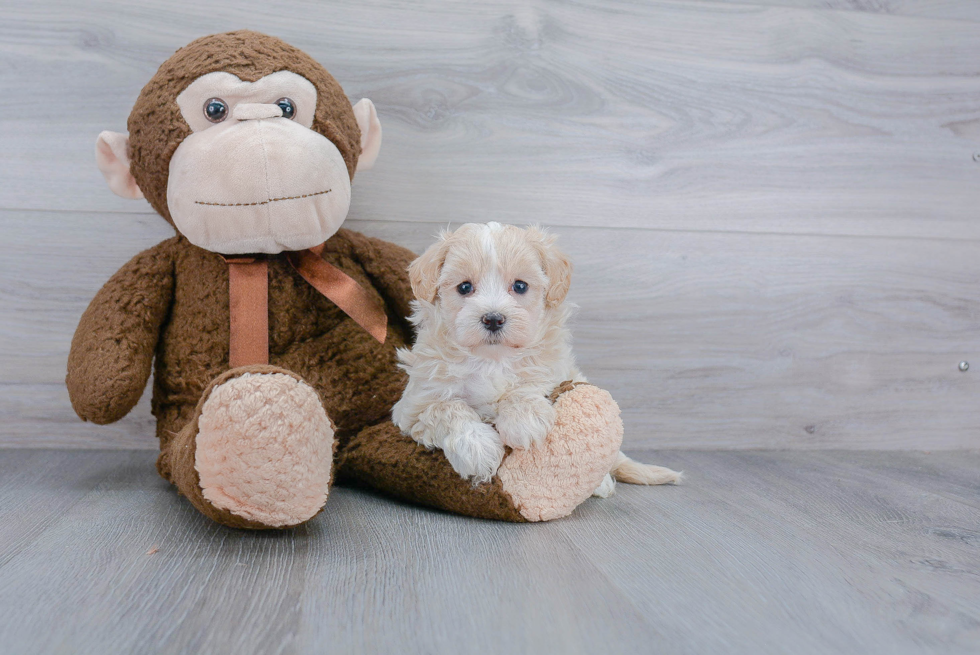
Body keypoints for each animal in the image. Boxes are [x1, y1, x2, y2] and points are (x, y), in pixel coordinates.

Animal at [390, 220, 680, 492]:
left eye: (520, 286)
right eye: (464, 287)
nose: (493, 319)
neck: (492, 360)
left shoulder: (557, 371)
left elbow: (529, 383)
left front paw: (523, 421)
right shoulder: (412, 408)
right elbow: (446, 409)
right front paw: (477, 449)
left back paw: (603, 483)